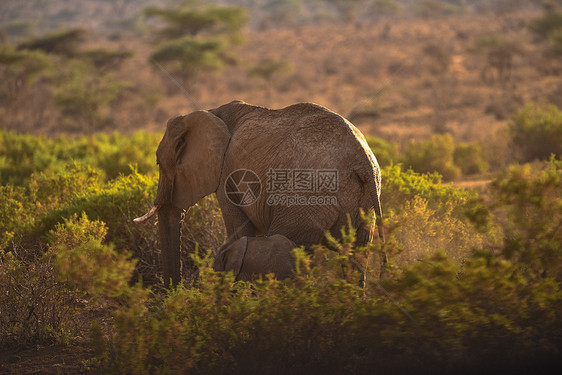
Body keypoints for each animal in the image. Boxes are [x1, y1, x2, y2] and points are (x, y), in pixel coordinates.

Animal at [135, 101, 380, 286]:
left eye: (158, 162)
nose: (173, 292)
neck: (209, 112)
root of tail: (362, 161)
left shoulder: (227, 174)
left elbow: (240, 230)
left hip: (306, 199)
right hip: (364, 202)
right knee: (357, 258)